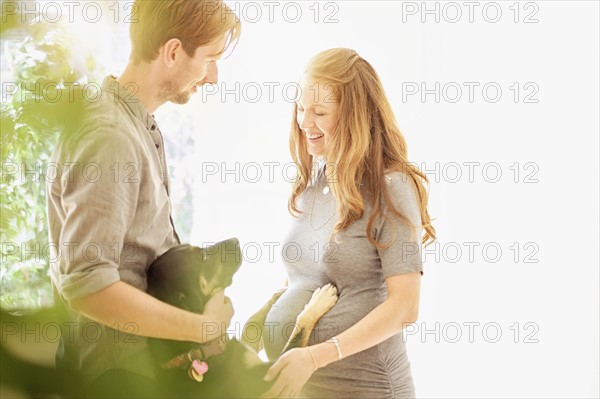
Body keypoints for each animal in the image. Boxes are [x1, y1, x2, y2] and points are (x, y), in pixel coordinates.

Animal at [146, 239, 338, 398]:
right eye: (204, 257)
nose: (236, 240)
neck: (195, 352)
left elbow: (251, 323)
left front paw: (276, 295)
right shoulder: (275, 374)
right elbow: (298, 332)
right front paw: (319, 301)